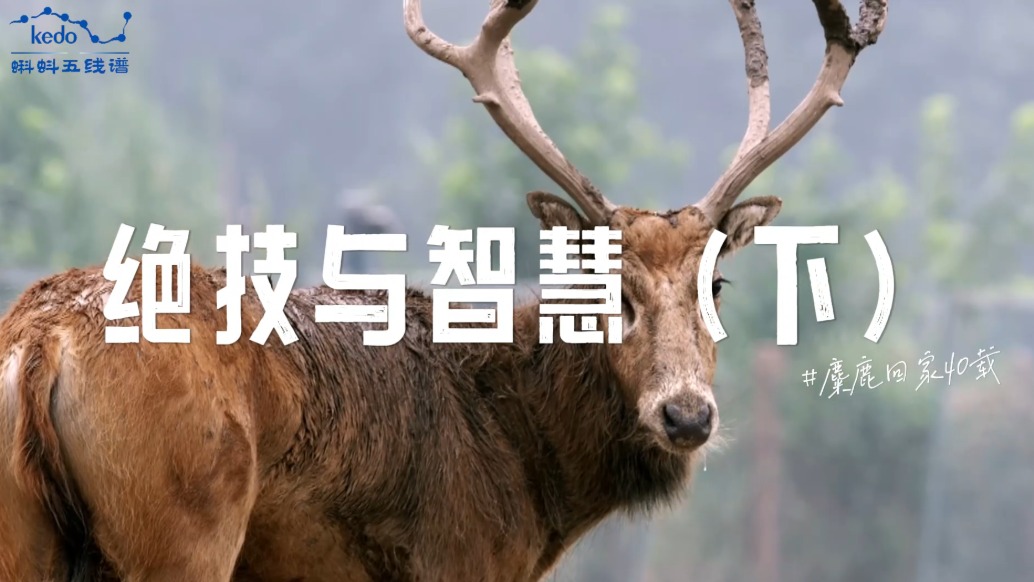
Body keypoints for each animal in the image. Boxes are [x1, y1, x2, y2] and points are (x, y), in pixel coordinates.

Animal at [0, 0, 887, 580]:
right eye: (609, 285)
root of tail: (44, 340)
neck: (536, 492)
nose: (687, 415)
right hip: (184, 524)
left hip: (25, 533)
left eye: (720, 282)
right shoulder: (458, 559)